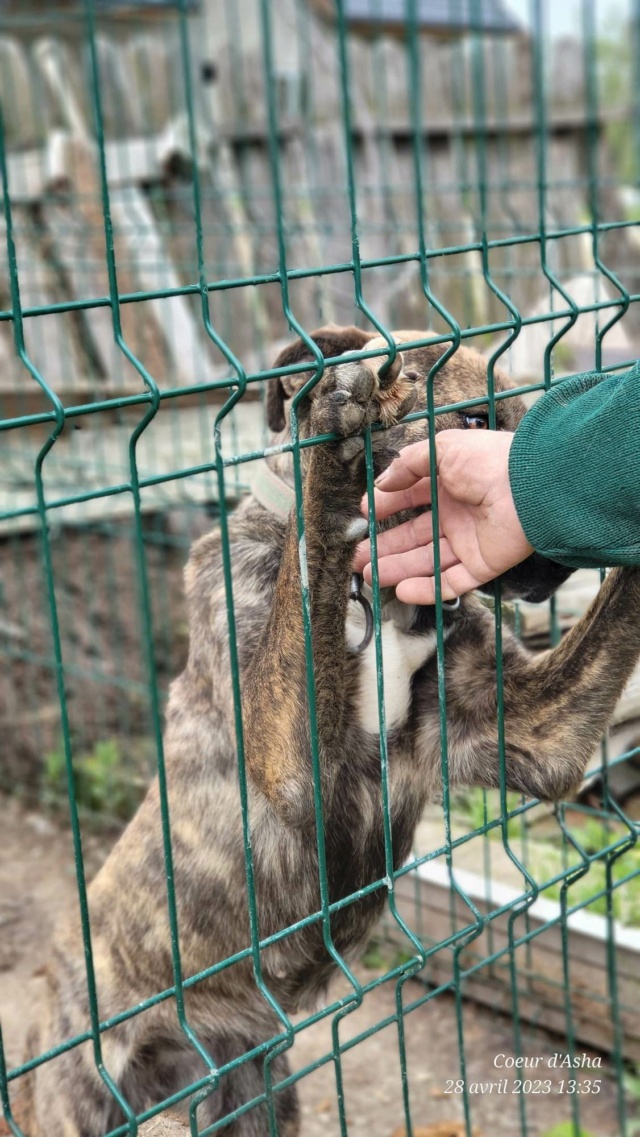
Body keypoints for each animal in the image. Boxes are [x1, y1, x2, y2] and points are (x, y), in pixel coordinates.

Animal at [8, 325, 640, 1132]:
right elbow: (308, 570)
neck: (380, 597)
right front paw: (332, 445)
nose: (556, 564)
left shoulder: (531, 732)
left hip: (261, 1096)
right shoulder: (292, 758)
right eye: (473, 419)